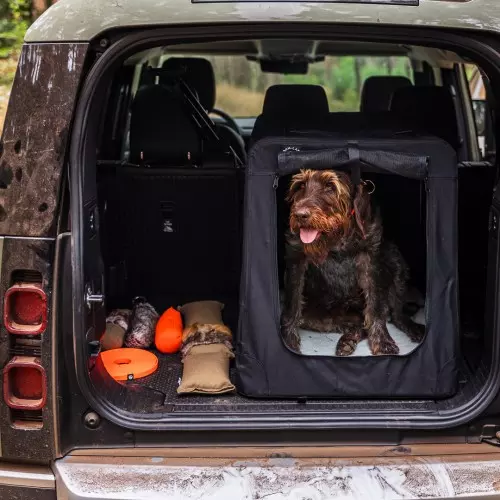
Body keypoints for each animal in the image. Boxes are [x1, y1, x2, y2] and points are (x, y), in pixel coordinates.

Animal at [282, 169, 422, 356]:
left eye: (330, 186)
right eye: (301, 185)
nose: (300, 215)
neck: (337, 238)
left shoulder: (370, 261)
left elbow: (375, 307)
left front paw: (382, 341)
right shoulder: (296, 259)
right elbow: (292, 306)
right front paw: (288, 342)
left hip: (395, 260)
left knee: (396, 315)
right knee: (357, 324)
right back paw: (347, 340)